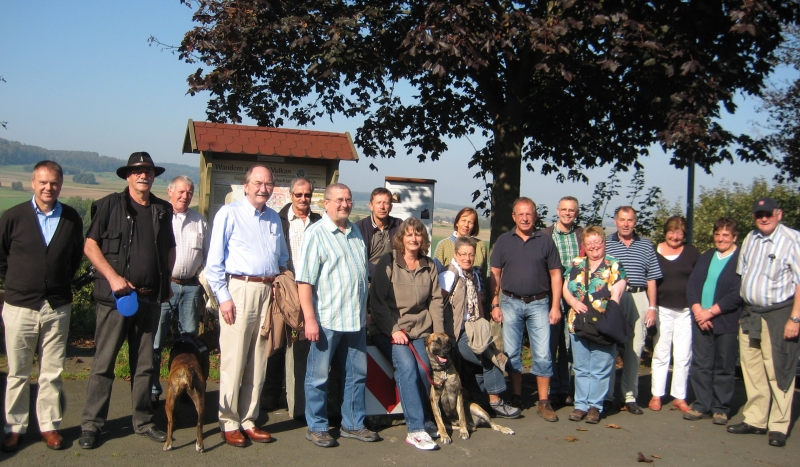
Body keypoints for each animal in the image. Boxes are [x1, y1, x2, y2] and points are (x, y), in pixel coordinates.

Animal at [162, 328, 219, 456]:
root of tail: (186, 370)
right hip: (197, 398)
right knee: (198, 423)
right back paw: (199, 446)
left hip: (171, 398)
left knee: (170, 423)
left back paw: (168, 444)